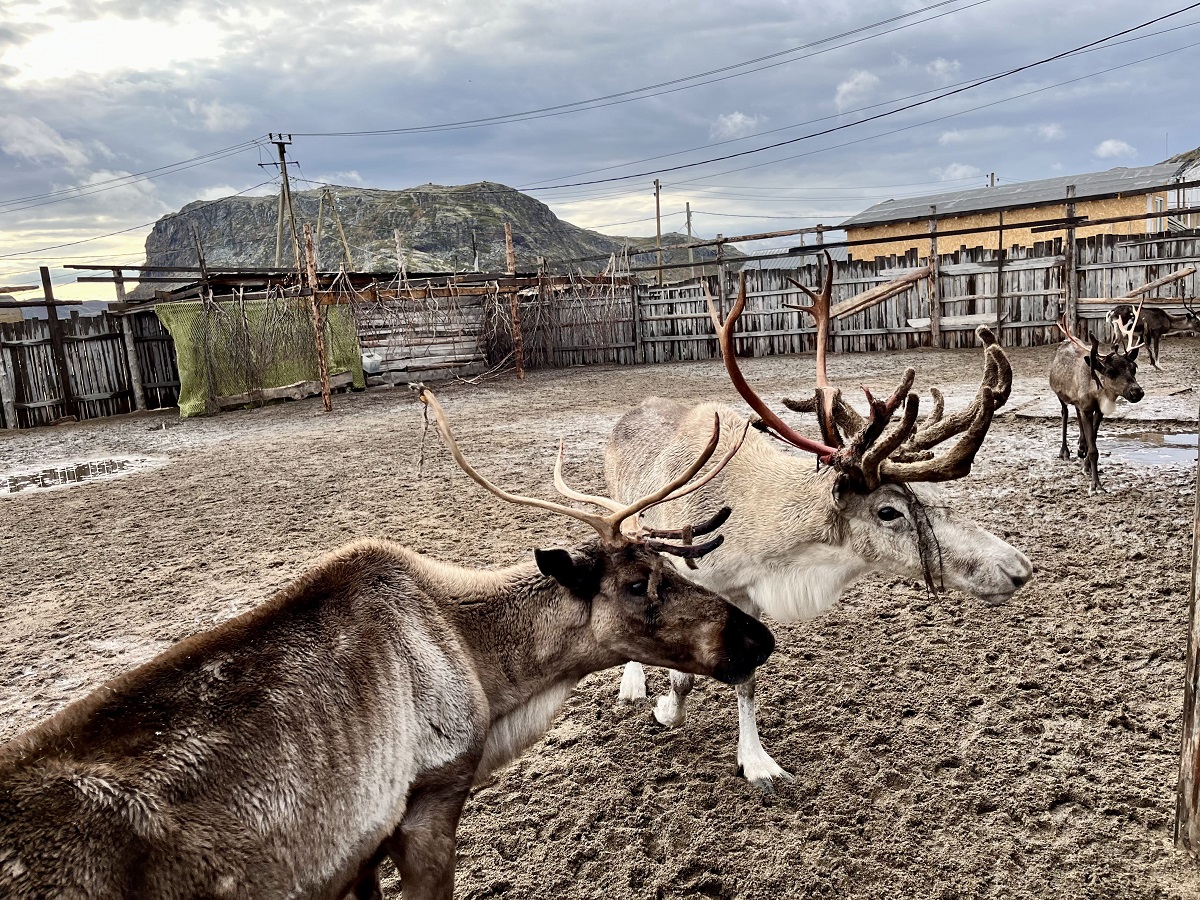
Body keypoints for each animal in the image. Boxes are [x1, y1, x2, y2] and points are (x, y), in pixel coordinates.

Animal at [0, 387, 774, 900]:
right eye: (639, 583)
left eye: (676, 566)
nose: (758, 636)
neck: (490, 672)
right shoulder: (428, 803)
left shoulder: (359, 849)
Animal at [606, 264, 1032, 790]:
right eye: (888, 511)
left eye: (928, 497)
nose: (1017, 568)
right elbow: (682, 670)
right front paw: (667, 709)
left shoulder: (748, 595)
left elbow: (747, 678)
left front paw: (757, 761)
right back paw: (632, 682)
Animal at [1050, 311, 1145, 496]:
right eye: (1111, 371)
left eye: (1134, 368)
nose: (1137, 392)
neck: (1096, 391)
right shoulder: (1087, 408)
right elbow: (1094, 449)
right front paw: (1096, 485)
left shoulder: (1097, 410)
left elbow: (1092, 437)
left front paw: (1086, 463)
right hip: (1059, 395)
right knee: (1065, 413)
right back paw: (1064, 451)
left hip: (1077, 402)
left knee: (1076, 413)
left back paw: (1081, 446)